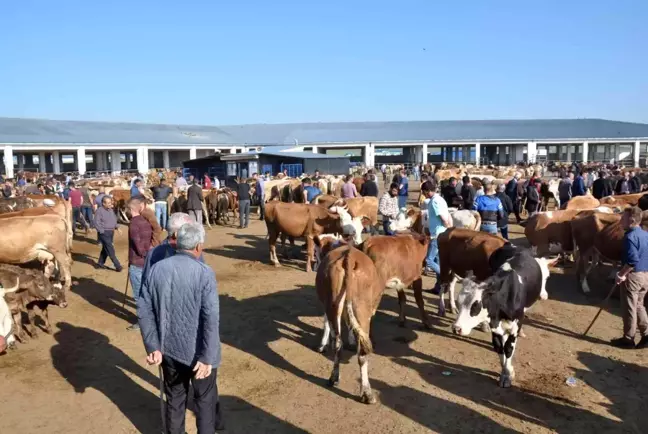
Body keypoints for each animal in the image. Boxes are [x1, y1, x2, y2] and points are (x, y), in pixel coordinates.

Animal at [316, 244, 384, 404]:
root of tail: (349, 255)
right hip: (361, 307)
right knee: (361, 350)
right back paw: (366, 393)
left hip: (334, 303)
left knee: (338, 343)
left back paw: (334, 378)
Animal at [450, 249, 552, 388]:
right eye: (459, 302)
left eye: (476, 304)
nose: (456, 328)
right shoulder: (494, 324)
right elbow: (499, 347)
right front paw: (507, 371)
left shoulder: (516, 325)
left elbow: (508, 348)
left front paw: (507, 375)